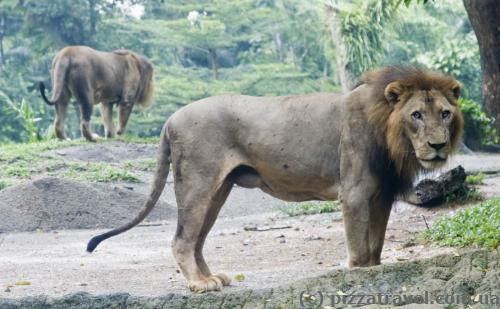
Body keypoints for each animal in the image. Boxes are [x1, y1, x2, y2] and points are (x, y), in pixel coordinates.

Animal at [85, 65, 460, 292]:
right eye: (416, 115)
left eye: (445, 113)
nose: (438, 145)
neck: (389, 131)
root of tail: (170, 118)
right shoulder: (354, 193)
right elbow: (358, 246)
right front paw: (355, 275)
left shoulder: (380, 195)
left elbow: (375, 245)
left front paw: (374, 270)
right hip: (197, 182)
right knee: (181, 240)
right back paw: (200, 285)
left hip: (218, 189)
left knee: (197, 240)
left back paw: (211, 277)